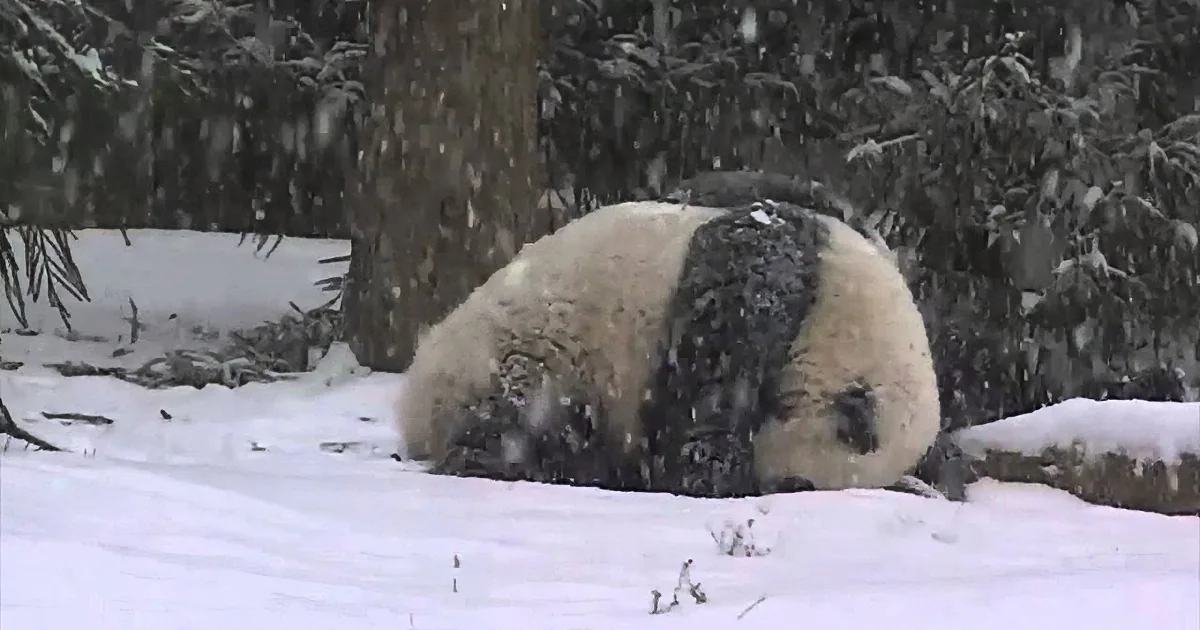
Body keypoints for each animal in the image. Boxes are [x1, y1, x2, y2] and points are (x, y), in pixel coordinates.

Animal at [395, 174, 941, 498]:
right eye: (796, 485)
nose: (768, 481)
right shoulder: (774, 269)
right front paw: (706, 463)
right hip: (517, 350)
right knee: (518, 411)